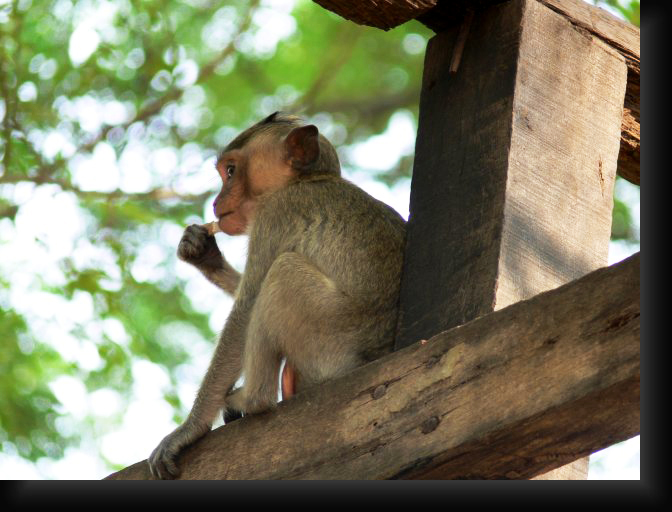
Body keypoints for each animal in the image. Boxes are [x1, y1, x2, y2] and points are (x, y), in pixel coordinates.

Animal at [148, 112, 406, 479]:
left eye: (230, 171)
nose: (216, 202)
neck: (305, 180)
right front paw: (204, 254)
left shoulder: (276, 213)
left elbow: (246, 308)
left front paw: (189, 429)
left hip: (330, 338)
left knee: (282, 272)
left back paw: (252, 400)